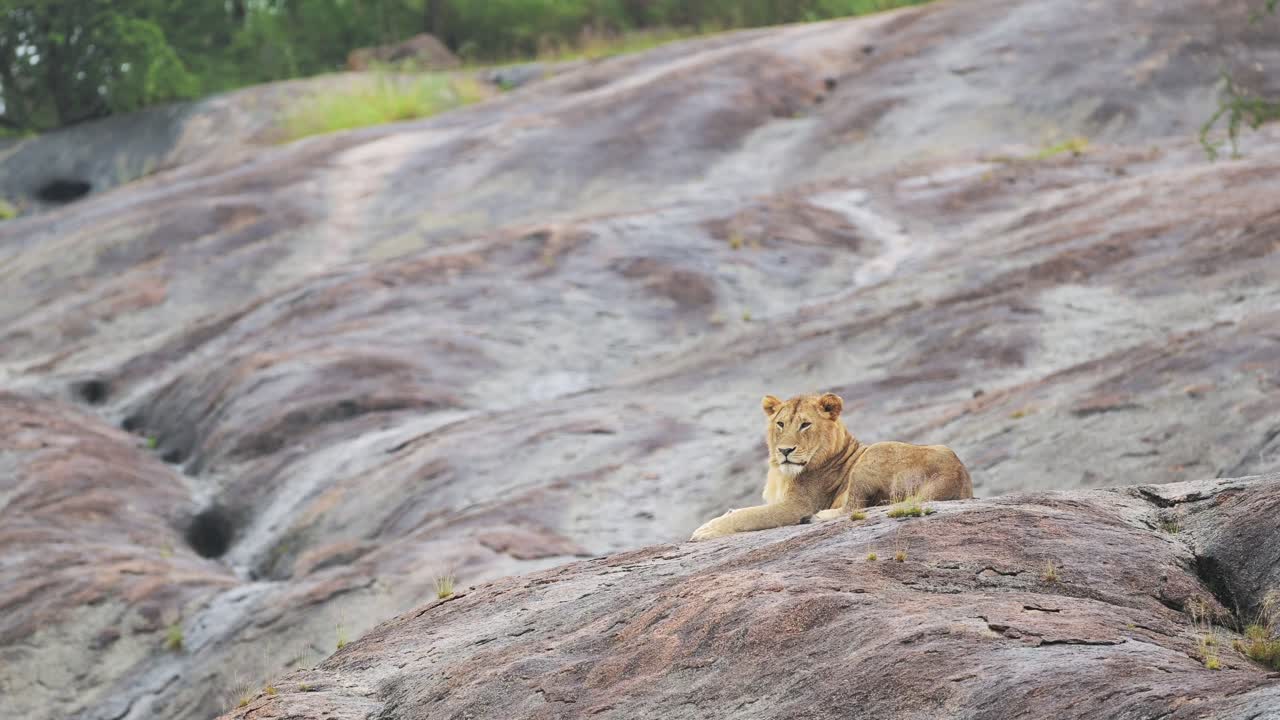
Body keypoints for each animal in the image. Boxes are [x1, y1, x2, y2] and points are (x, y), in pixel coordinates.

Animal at [690, 392, 973, 541]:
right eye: (781, 424)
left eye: (805, 425)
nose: (785, 451)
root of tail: (955, 474)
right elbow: (740, 510)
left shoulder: (796, 505)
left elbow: (748, 515)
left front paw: (705, 530)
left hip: (874, 455)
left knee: (855, 507)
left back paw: (817, 517)